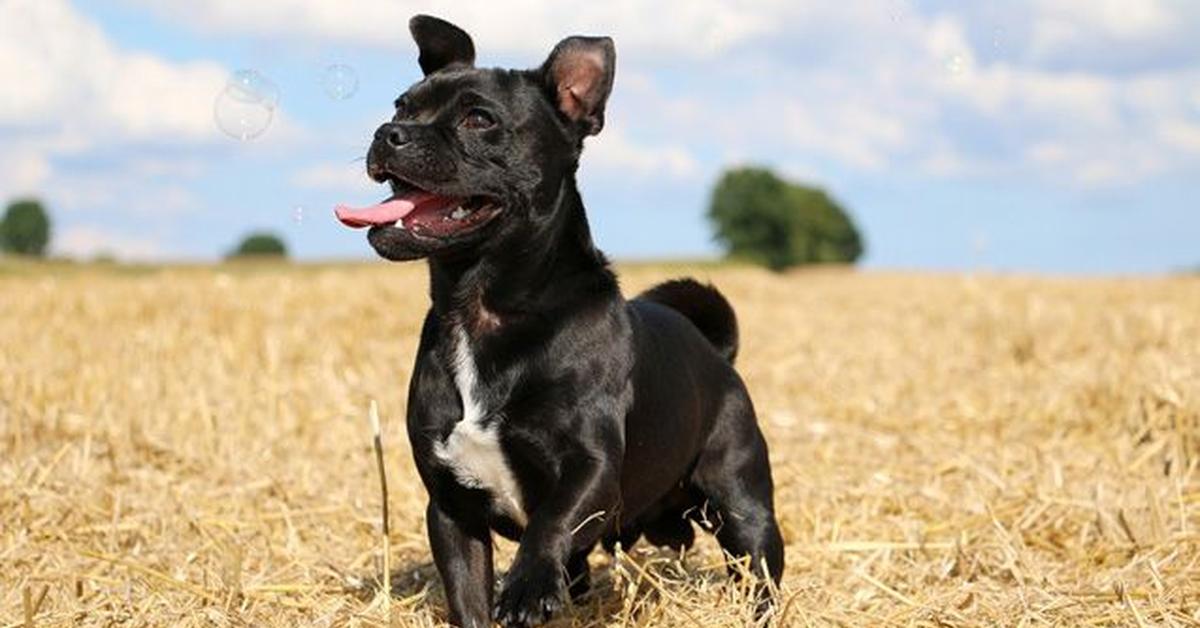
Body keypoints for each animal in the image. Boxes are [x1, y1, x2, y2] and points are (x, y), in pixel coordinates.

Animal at [336, 14, 787, 628]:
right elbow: (468, 598)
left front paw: (526, 587)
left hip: (742, 502)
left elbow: (551, 523)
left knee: (756, 564)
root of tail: (717, 353)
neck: (481, 309)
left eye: (479, 119)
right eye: (402, 106)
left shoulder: (589, 468)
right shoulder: (452, 511)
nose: (389, 133)